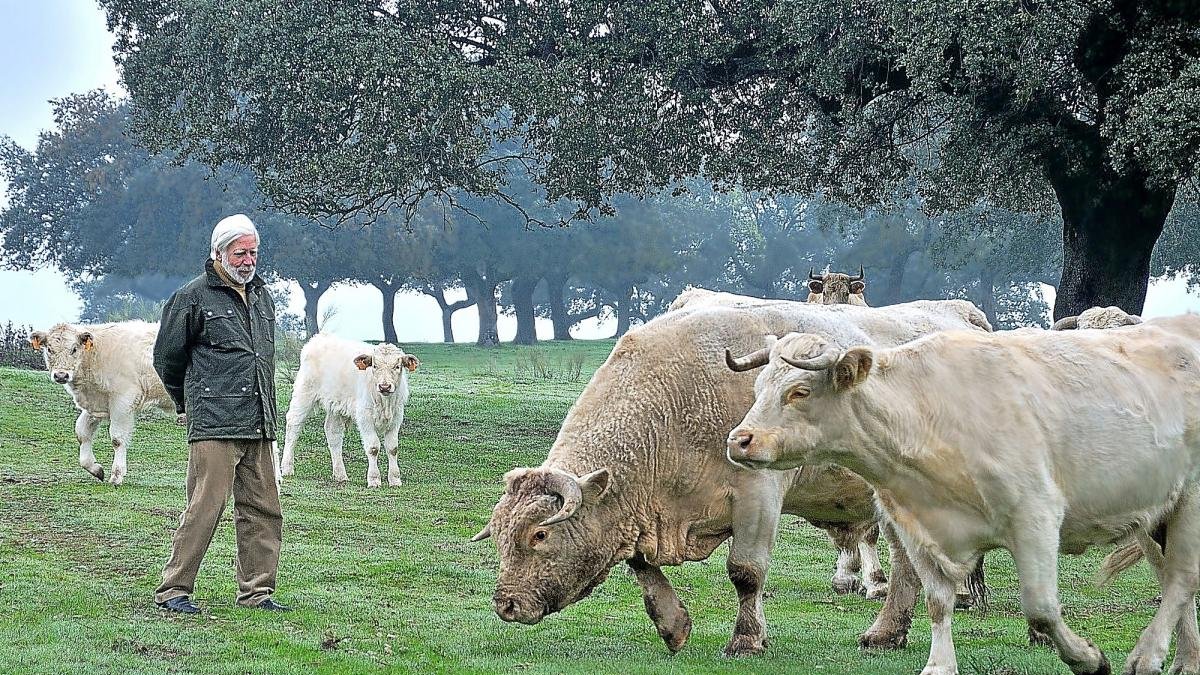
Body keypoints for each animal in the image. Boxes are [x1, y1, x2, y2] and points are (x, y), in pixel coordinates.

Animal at [30, 321, 175, 485]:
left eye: (74, 349)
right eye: (49, 349)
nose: (61, 375)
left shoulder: (123, 399)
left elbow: (117, 438)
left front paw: (117, 476)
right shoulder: (95, 404)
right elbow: (81, 433)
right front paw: (95, 468)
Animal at [280, 334, 419, 487]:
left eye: (397, 366)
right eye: (374, 366)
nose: (384, 386)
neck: (384, 402)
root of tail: (320, 337)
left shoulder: (396, 417)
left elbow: (393, 448)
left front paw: (395, 479)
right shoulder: (364, 417)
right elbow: (373, 447)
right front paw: (374, 479)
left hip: (335, 405)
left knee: (333, 433)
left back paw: (340, 474)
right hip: (304, 393)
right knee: (293, 425)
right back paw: (287, 468)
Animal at [471, 295, 992, 657]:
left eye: (539, 535)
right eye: (499, 536)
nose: (506, 604)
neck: (674, 404)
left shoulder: (758, 494)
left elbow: (745, 572)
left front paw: (746, 639)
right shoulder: (639, 510)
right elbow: (642, 568)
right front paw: (673, 624)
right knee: (908, 563)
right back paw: (887, 632)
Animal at [726, 315, 1200, 675]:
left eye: (799, 391)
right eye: (758, 388)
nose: (739, 440)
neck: (929, 416)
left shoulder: (1035, 515)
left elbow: (1042, 607)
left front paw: (1087, 658)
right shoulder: (915, 526)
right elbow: (937, 602)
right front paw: (939, 666)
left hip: (1191, 501)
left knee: (1181, 578)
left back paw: (1147, 656)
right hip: (1154, 515)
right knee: (1175, 582)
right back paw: (1185, 660)